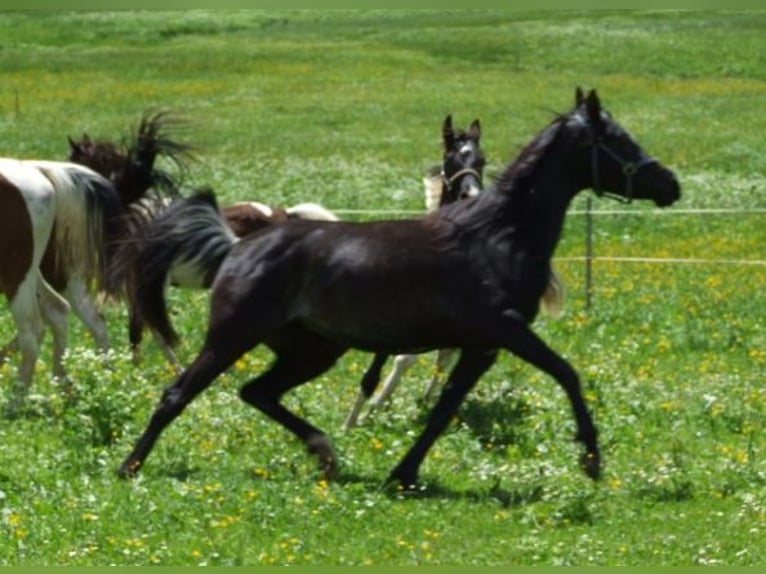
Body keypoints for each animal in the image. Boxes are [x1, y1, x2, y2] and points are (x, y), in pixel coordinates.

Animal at [0, 159, 122, 406]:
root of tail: (38, 170)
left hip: (18, 274)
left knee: (33, 330)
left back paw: (17, 401)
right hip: (41, 273)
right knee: (77, 315)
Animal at [118, 88, 681, 488]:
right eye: (618, 140)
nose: (672, 184)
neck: (498, 233)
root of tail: (237, 246)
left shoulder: (480, 347)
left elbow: (443, 409)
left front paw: (403, 474)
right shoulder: (506, 330)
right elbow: (566, 374)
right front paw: (591, 459)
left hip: (313, 351)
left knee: (257, 392)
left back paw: (325, 453)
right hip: (234, 336)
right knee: (178, 394)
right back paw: (130, 467)